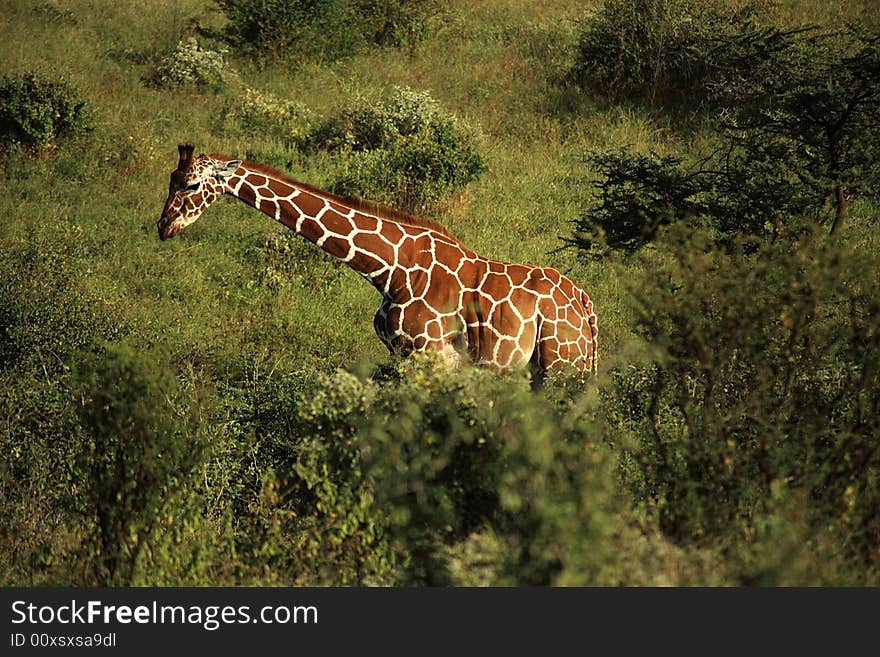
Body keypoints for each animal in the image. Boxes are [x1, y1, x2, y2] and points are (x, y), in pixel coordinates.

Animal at [158, 144, 600, 380]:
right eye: (170, 180)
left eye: (192, 184)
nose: (164, 226)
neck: (390, 270)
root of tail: (586, 306)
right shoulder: (401, 354)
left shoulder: (432, 355)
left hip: (562, 365)